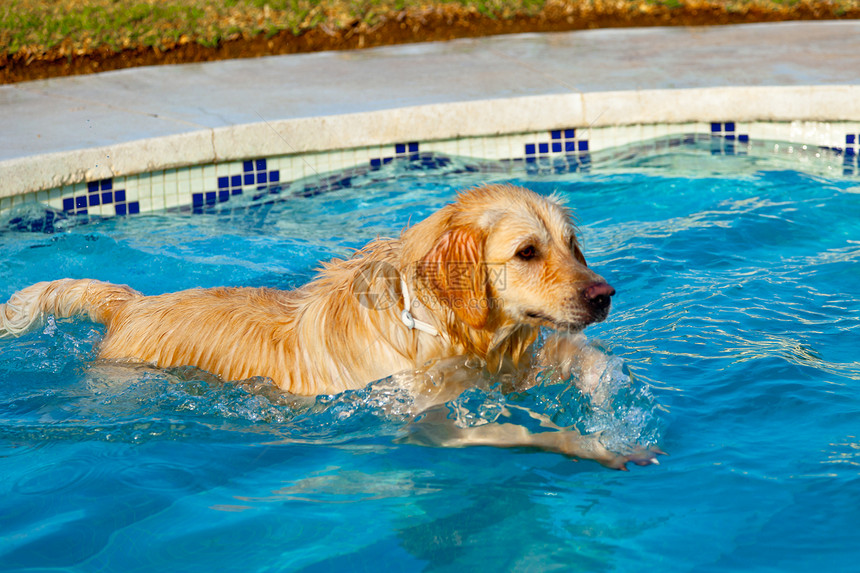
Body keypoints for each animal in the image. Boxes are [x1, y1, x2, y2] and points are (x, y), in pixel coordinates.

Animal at [0, 183, 660, 470]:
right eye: (526, 252)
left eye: (572, 245)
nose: (604, 296)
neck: (438, 325)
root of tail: (131, 303)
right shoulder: (425, 420)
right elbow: (518, 432)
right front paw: (593, 445)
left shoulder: (505, 365)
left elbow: (582, 359)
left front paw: (609, 400)